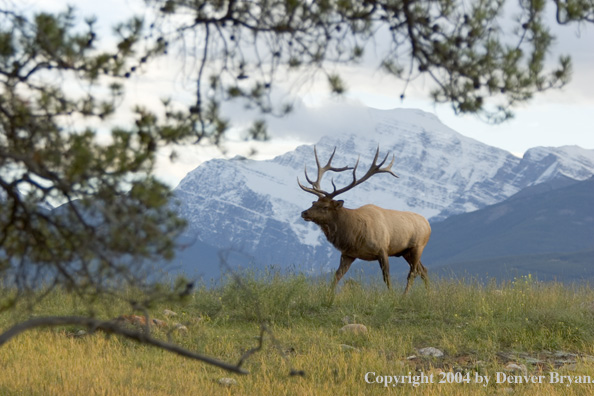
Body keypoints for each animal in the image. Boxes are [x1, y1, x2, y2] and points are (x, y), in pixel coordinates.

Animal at [298, 146, 428, 294]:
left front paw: (391, 295)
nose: (304, 213)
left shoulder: (383, 249)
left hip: (418, 247)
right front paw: (328, 295)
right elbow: (337, 276)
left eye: (325, 207)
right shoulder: (348, 254)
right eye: (313, 203)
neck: (354, 234)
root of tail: (428, 224)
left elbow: (386, 277)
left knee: (413, 273)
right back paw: (429, 292)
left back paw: (404, 295)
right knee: (423, 270)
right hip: (406, 252)